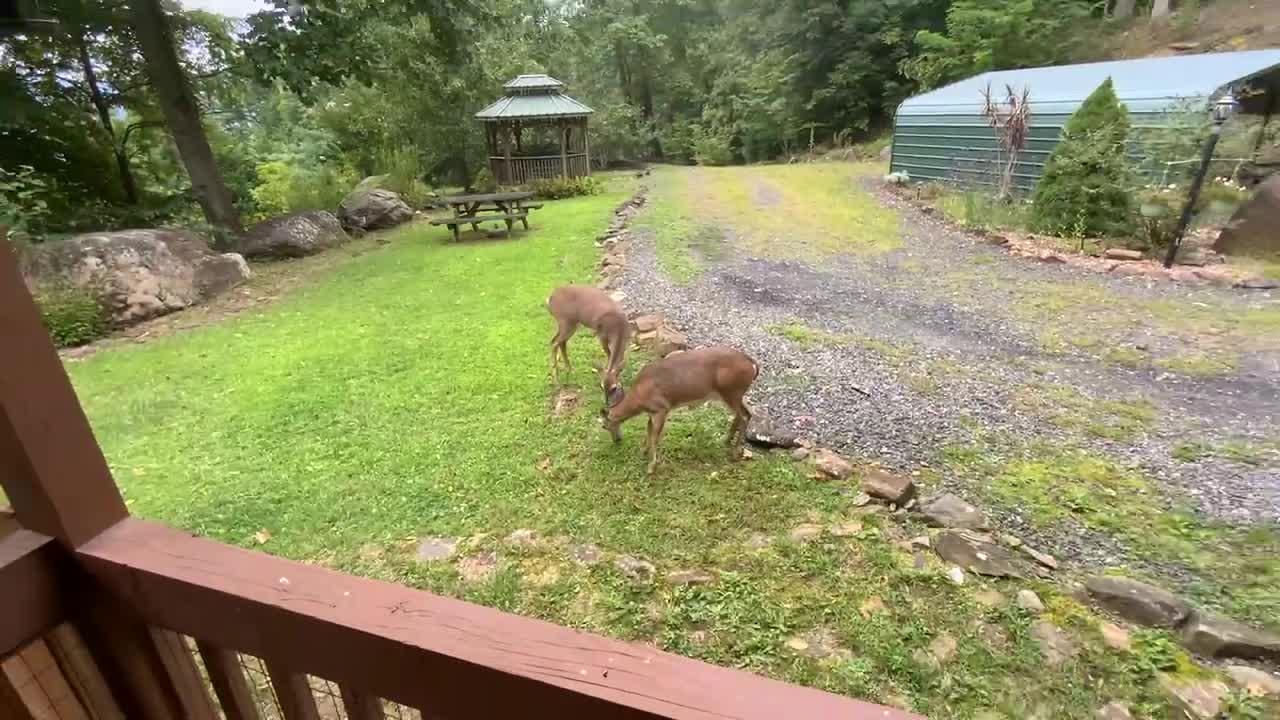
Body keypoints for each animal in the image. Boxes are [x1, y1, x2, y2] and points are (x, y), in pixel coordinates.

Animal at [601, 345, 757, 474]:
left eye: (604, 426)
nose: (617, 440)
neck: (639, 398)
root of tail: (753, 364)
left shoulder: (662, 408)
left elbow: (655, 437)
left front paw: (651, 467)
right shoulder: (652, 413)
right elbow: (649, 431)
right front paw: (644, 451)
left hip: (731, 391)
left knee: (744, 416)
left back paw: (735, 453)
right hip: (733, 394)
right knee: (746, 413)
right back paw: (726, 440)